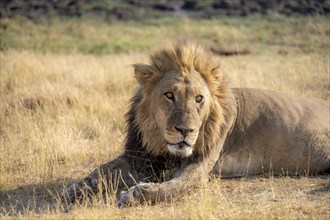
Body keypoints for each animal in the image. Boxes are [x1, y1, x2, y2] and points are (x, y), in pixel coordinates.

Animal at [62, 41, 330, 208]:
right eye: (169, 95)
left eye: (199, 99)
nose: (186, 131)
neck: (161, 144)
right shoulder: (140, 157)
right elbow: (100, 172)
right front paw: (75, 189)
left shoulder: (201, 164)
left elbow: (177, 186)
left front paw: (138, 194)